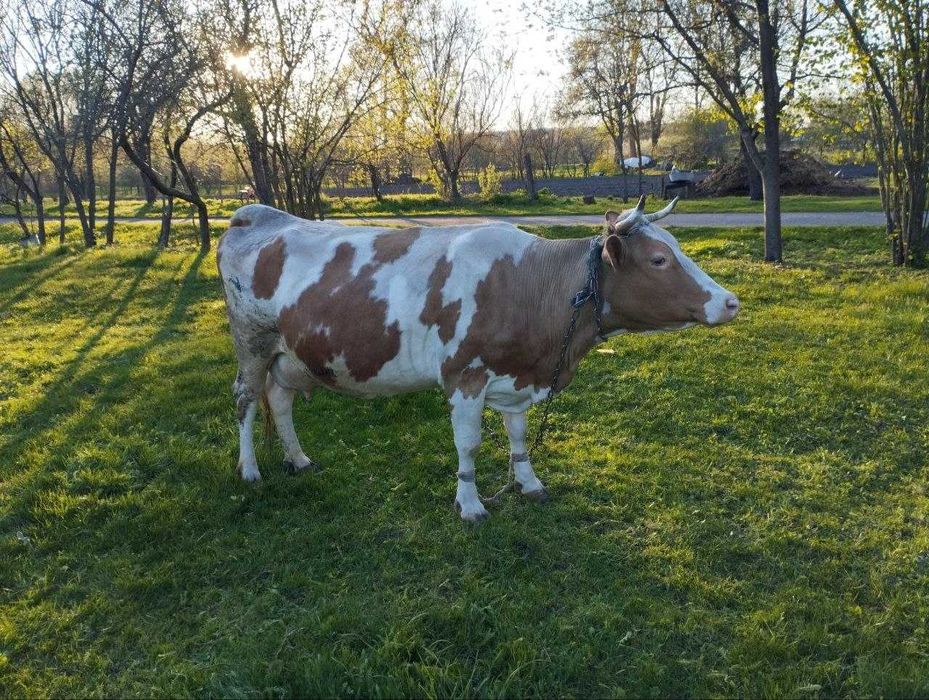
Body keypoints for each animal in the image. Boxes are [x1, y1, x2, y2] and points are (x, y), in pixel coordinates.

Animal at [216, 196, 740, 521]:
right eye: (659, 260)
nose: (731, 302)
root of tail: (255, 214)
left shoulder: (517, 379)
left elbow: (519, 438)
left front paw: (528, 482)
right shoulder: (463, 376)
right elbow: (467, 446)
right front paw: (470, 504)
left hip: (287, 353)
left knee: (280, 402)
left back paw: (299, 459)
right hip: (252, 340)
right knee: (245, 400)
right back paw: (250, 469)